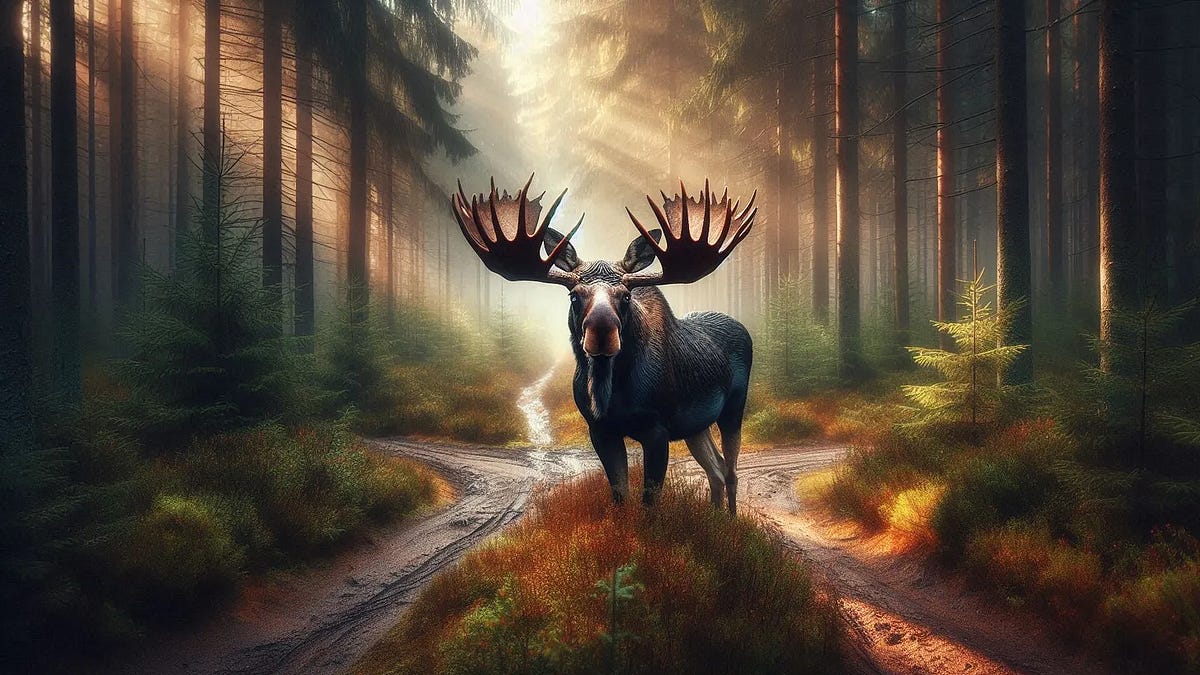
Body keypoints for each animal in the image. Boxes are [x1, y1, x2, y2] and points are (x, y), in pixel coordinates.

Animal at [451, 176, 757, 514]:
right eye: (574, 296)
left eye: (626, 295)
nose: (601, 333)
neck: (610, 389)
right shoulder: (600, 430)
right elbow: (620, 495)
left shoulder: (657, 431)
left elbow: (649, 503)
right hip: (696, 425)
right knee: (715, 468)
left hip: (733, 408)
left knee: (730, 471)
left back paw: (730, 520)